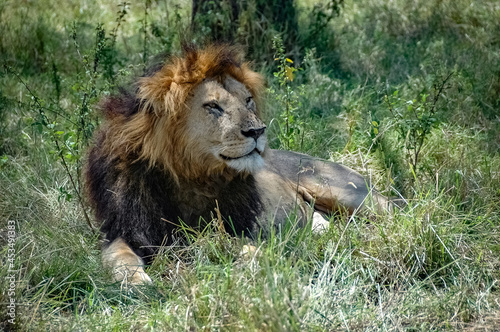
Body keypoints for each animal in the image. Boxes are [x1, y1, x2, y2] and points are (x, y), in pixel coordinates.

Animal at [85, 43, 390, 282]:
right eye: (213, 106)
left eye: (248, 100)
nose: (258, 131)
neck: (191, 175)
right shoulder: (124, 230)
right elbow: (119, 257)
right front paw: (136, 283)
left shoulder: (239, 227)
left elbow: (247, 249)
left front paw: (252, 266)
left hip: (349, 194)